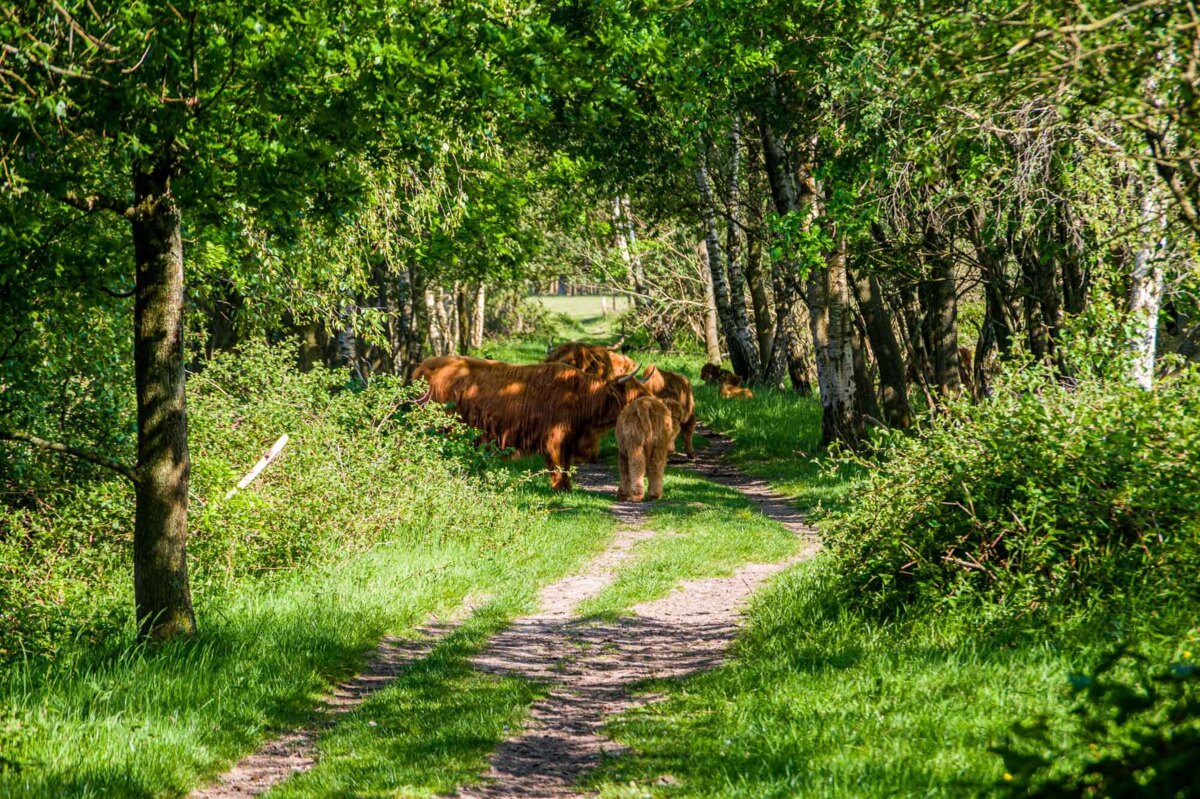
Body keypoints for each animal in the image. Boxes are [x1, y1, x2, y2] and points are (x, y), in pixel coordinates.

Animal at [415, 355, 657, 491]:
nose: (655, 408)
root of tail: (424, 366)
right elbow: (558, 464)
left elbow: (566, 464)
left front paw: (567, 487)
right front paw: (559, 489)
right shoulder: (556, 436)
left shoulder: (570, 438)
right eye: (637, 396)